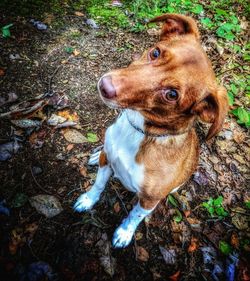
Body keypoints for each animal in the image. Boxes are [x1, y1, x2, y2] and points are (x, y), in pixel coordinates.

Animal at [73, 14, 229, 247]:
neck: (138, 132)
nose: (105, 86)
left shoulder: (149, 200)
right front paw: (88, 199)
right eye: (155, 52)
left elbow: (134, 216)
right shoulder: (107, 161)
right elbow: (98, 184)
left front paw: (124, 233)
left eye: (172, 94)